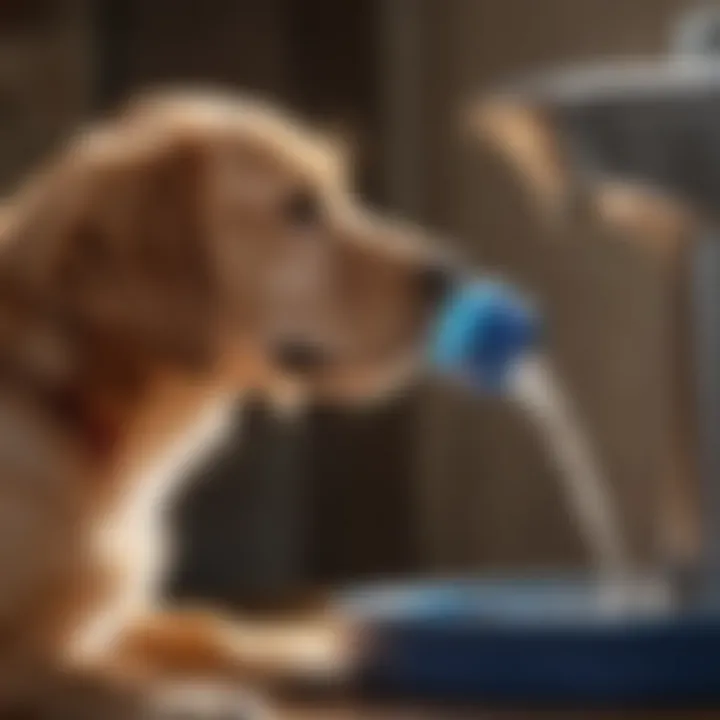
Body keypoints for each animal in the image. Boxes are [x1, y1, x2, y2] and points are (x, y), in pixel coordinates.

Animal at [0, 93, 456, 716]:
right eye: (300, 207)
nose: (448, 277)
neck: (71, 396)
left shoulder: (117, 615)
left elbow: (202, 624)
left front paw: (308, 648)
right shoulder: (35, 657)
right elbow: (84, 675)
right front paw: (198, 698)